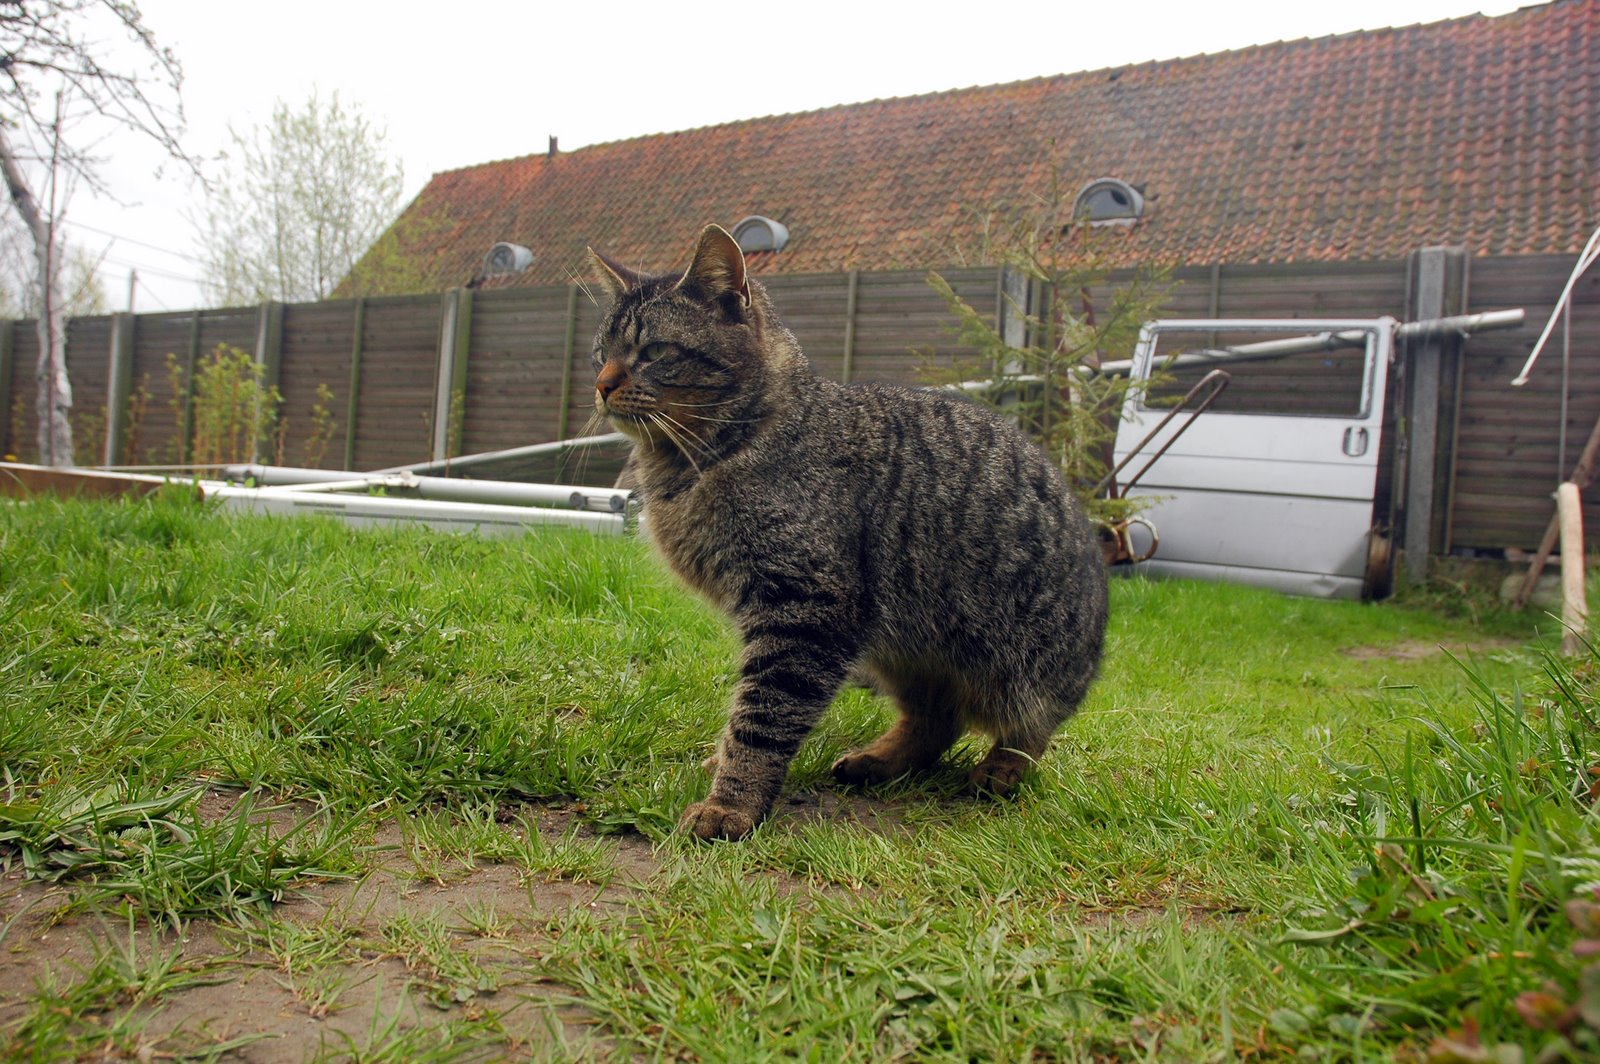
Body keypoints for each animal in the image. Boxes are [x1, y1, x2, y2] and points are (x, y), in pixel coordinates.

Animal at [589, 224, 1108, 841]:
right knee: (939, 720)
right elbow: (746, 712)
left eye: (653, 352)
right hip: (901, 649)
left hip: (1022, 664)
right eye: (600, 353)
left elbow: (762, 718)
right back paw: (880, 759)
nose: (600, 384)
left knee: (1032, 729)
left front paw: (731, 804)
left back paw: (1001, 768)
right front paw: (722, 767)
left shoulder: (807, 608)